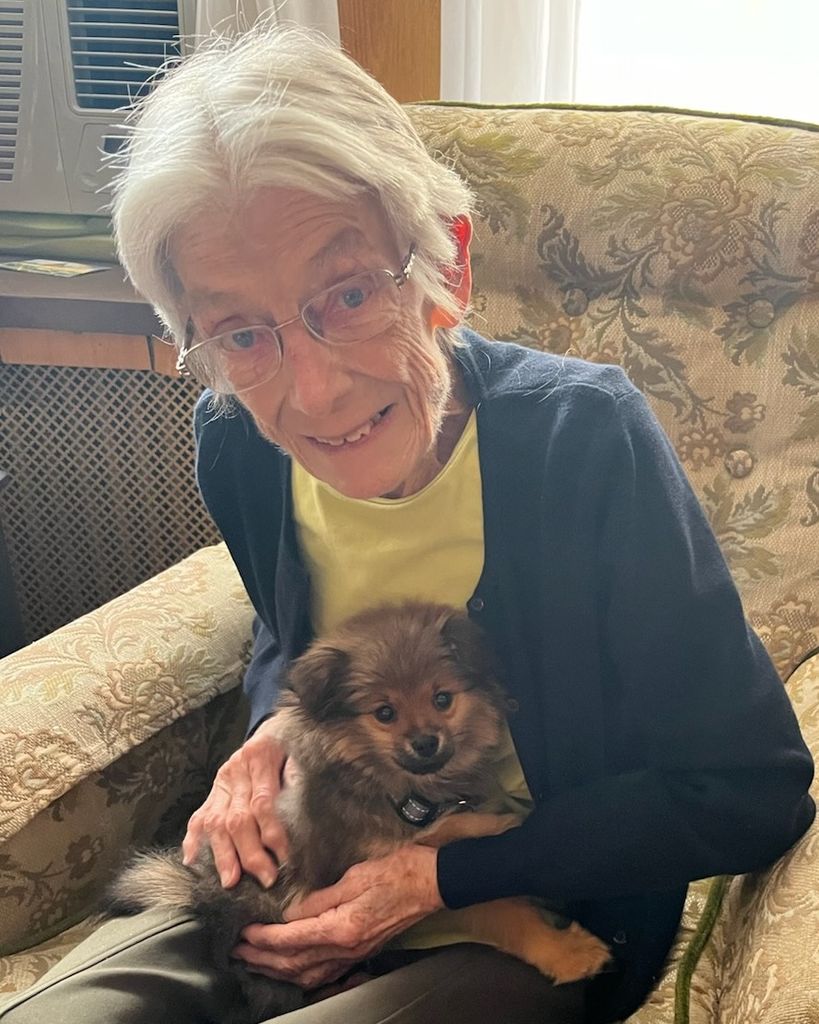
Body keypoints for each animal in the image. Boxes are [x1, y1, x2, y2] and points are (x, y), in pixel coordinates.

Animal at [107, 602, 609, 1023]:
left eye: (442, 699)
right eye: (384, 713)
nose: (426, 742)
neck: (398, 789)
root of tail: (203, 897)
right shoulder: (374, 864)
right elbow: (496, 903)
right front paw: (565, 949)